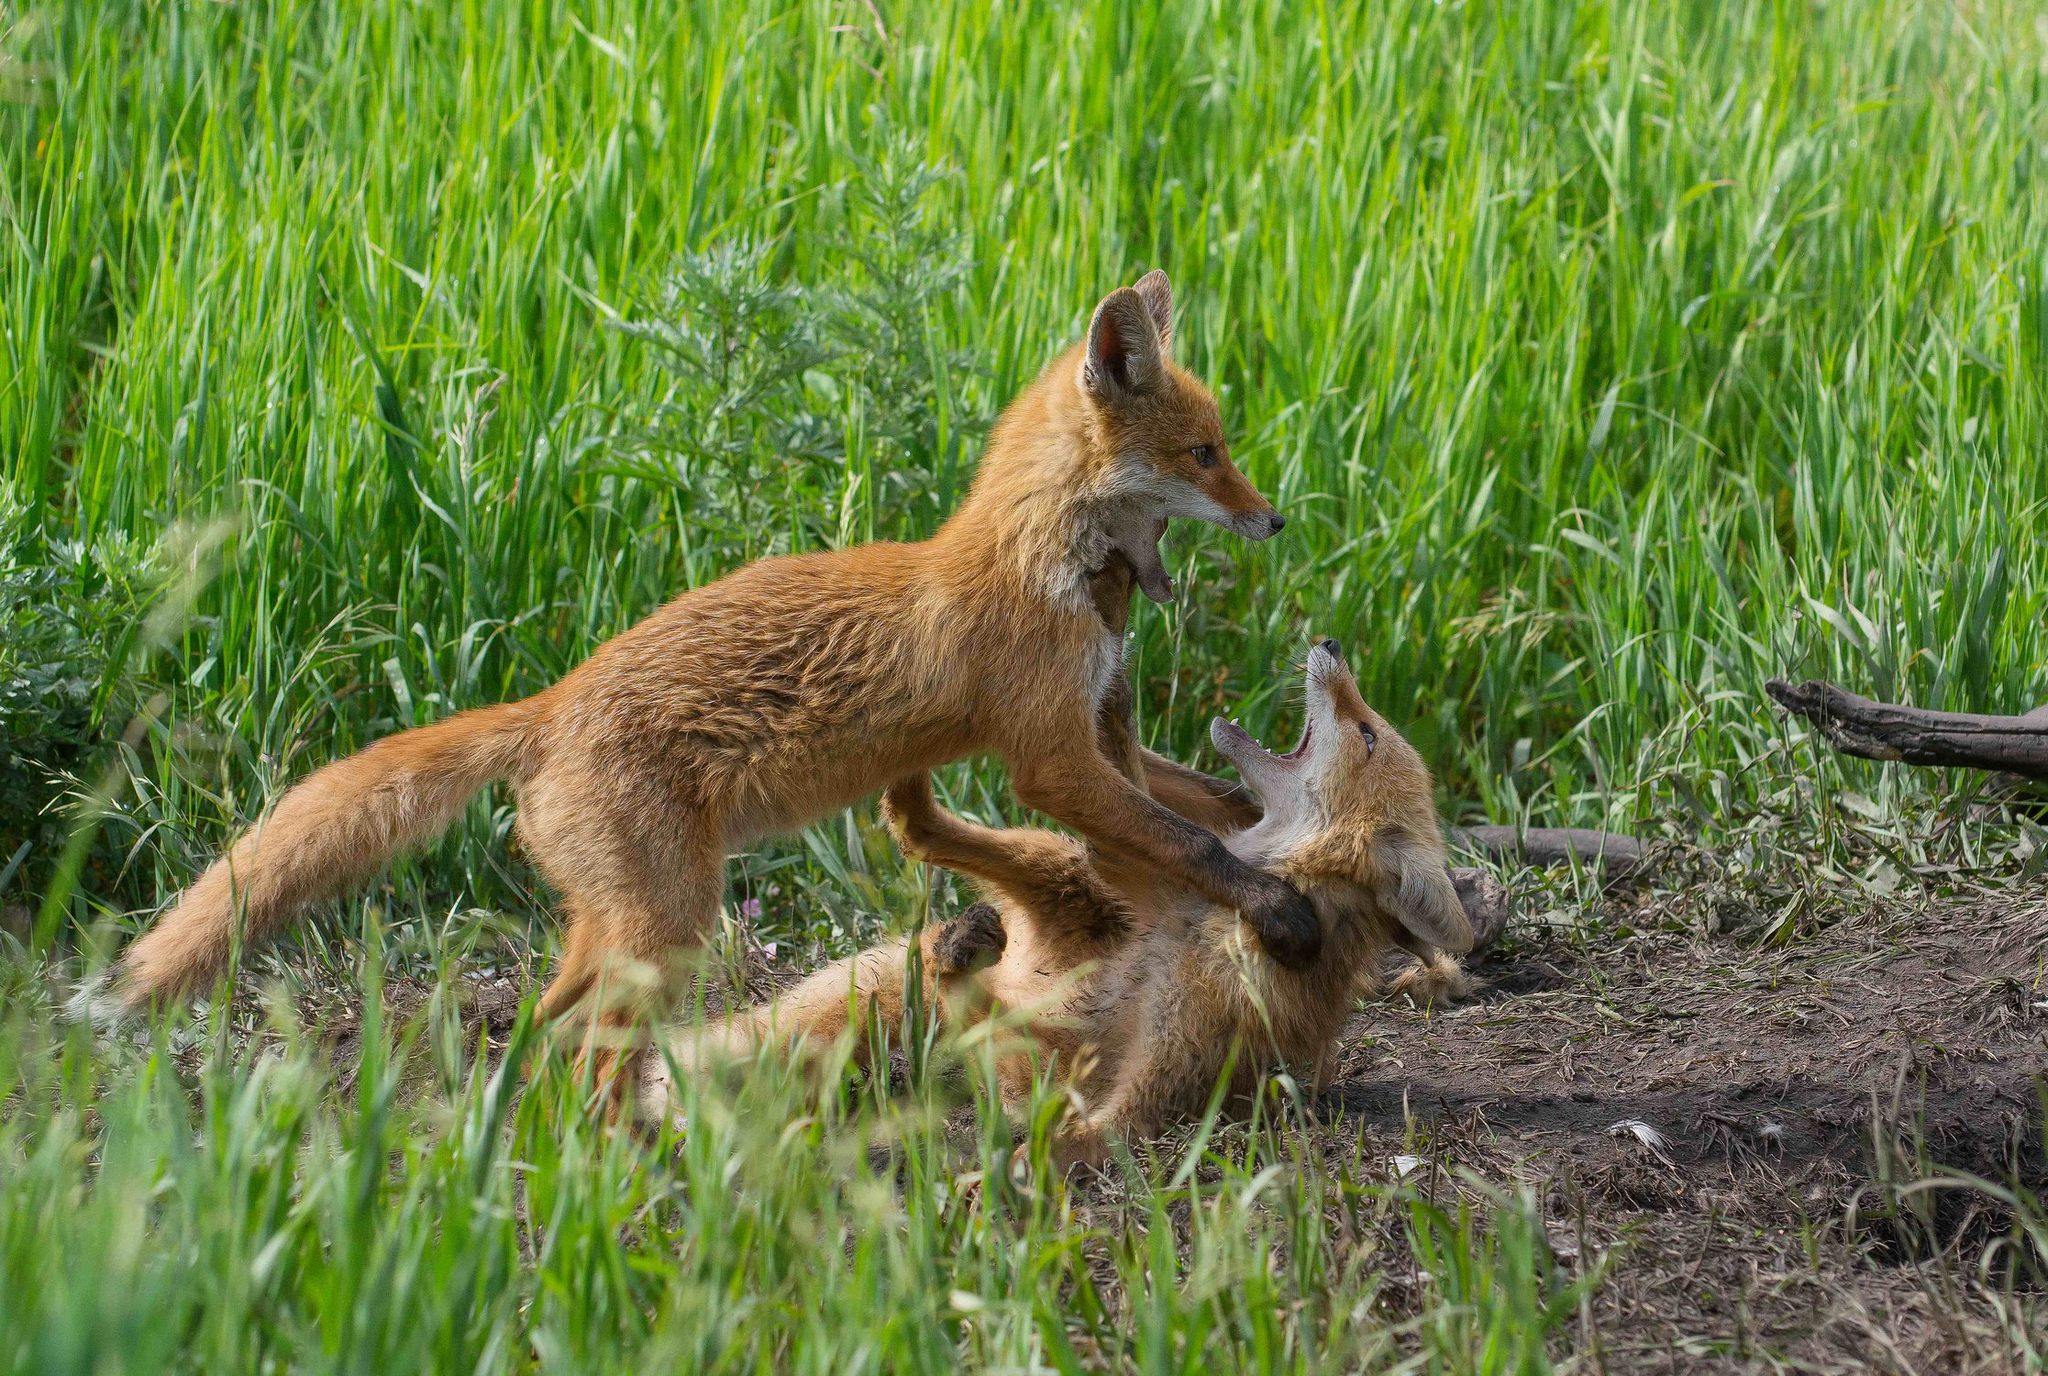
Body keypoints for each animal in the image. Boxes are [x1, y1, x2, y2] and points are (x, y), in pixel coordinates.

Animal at [96, 272, 1318, 1056]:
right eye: (1205, 454)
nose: (1277, 520)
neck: (1044, 569)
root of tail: (552, 704)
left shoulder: (1107, 728)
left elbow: (1201, 804)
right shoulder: (1052, 759)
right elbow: (1190, 842)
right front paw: (1277, 904)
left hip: (620, 922)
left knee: (541, 1030)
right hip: (668, 928)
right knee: (585, 1045)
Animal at [655, 630, 1474, 1163]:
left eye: (1366, 734)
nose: (1330, 641)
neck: (1218, 921)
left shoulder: (1165, 1085)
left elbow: (1083, 1138)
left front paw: (1009, 1176)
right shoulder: (1137, 872)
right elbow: (1141, 780)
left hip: (1047, 904)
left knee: (940, 901)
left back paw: (959, 951)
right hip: (1059, 876)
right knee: (926, 839)